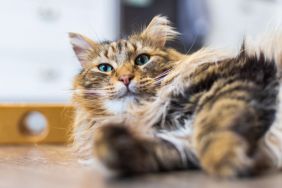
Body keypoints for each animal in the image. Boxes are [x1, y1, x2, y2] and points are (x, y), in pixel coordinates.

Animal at [69, 15, 282, 178]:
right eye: (105, 68)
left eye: (142, 59)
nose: (125, 78)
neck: (145, 113)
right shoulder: (177, 143)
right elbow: (139, 150)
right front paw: (108, 146)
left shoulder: (231, 81)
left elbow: (212, 127)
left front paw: (226, 161)